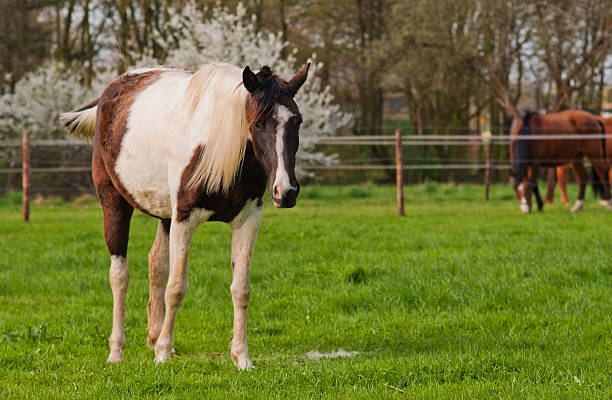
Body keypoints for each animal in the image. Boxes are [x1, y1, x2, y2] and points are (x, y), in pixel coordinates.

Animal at [61, 61, 310, 368]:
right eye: (258, 123)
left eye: (297, 121)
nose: (286, 191)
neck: (218, 145)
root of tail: (112, 92)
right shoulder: (184, 218)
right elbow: (176, 287)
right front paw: (162, 353)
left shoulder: (248, 219)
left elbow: (241, 289)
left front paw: (241, 357)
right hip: (114, 203)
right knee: (119, 276)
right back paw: (117, 351)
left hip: (165, 216)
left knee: (156, 264)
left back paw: (153, 338)